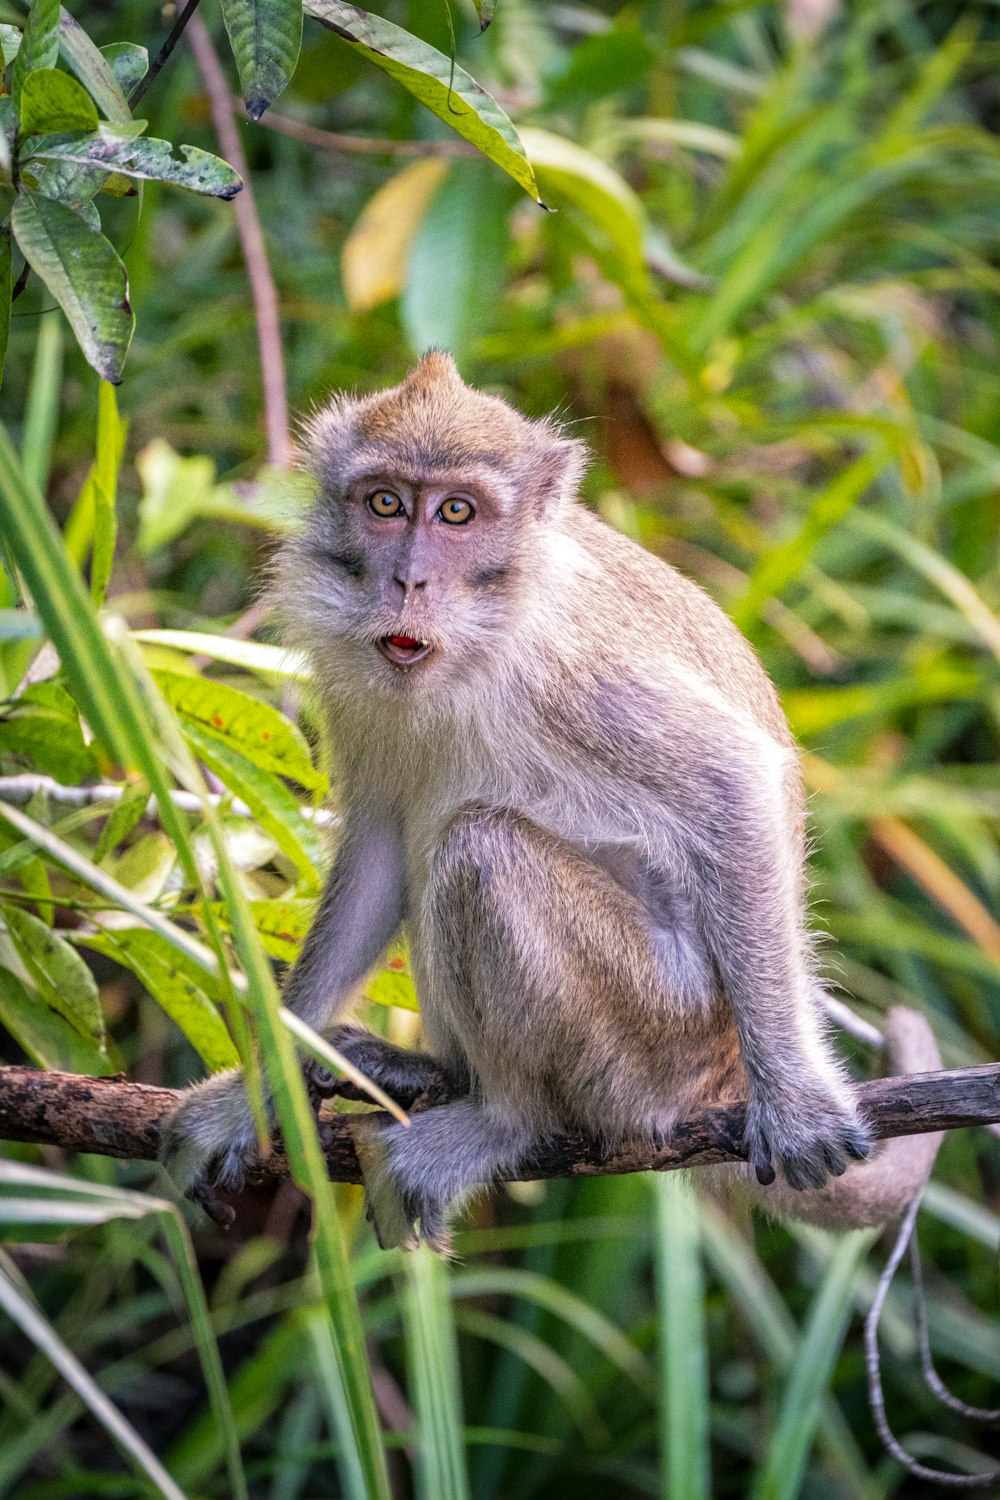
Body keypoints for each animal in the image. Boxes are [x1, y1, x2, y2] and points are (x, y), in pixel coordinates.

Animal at [160, 348, 941, 1242]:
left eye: (457, 513)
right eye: (386, 503)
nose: (408, 579)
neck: (480, 636)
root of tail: (716, 1079)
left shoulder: (570, 670)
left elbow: (734, 779)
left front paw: (796, 1099)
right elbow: (379, 854)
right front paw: (261, 1091)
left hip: (654, 1039)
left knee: (481, 851)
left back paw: (509, 1118)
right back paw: (431, 1071)